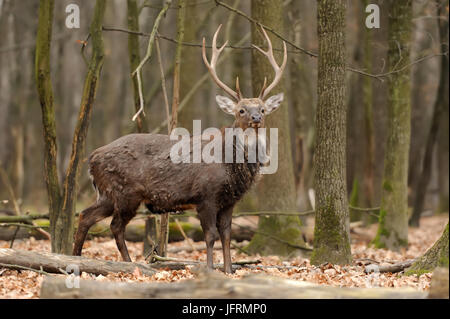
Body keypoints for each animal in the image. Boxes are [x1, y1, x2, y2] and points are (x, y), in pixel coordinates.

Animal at [72, 25, 286, 276]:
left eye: (262, 108)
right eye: (241, 110)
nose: (256, 118)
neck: (230, 165)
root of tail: (92, 158)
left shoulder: (229, 201)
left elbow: (226, 235)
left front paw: (229, 271)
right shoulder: (206, 195)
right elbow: (210, 235)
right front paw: (210, 269)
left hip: (108, 193)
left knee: (86, 215)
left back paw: (75, 258)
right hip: (125, 191)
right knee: (115, 226)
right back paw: (126, 263)